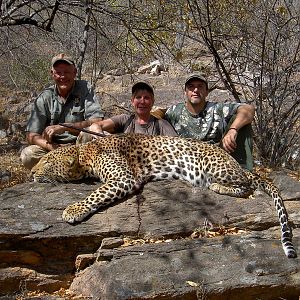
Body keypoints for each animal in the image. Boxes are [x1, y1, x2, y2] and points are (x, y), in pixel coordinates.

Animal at [31, 134, 296, 258]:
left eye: (46, 162)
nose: (31, 173)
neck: (85, 154)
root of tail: (237, 163)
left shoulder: (123, 178)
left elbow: (95, 193)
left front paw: (72, 210)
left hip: (214, 165)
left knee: (247, 185)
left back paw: (219, 187)